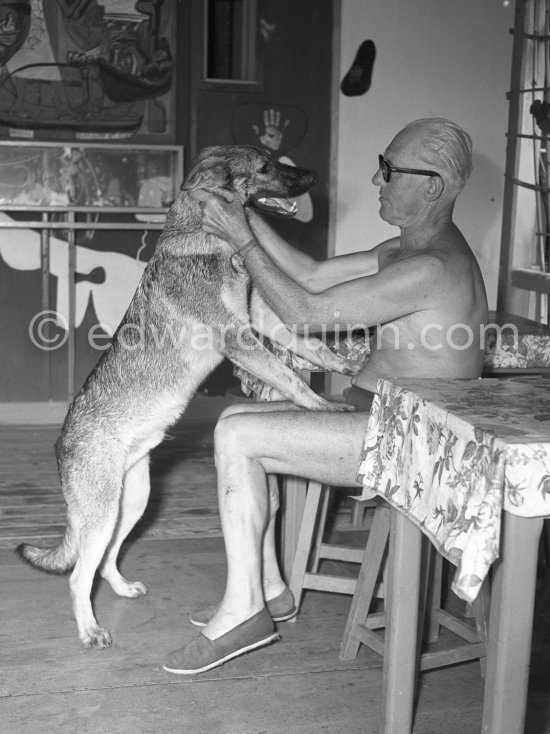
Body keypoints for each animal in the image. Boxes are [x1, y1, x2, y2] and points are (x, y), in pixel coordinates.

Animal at [16, 147, 358, 652]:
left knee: (104, 562)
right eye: (265, 166)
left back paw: (122, 590)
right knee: (79, 576)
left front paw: (344, 366)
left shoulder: (262, 325)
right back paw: (90, 631)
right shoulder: (238, 338)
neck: (205, 237)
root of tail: (62, 444)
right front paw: (325, 407)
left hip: (131, 504)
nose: (315, 175)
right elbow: (294, 381)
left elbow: (311, 349)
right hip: (103, 514)